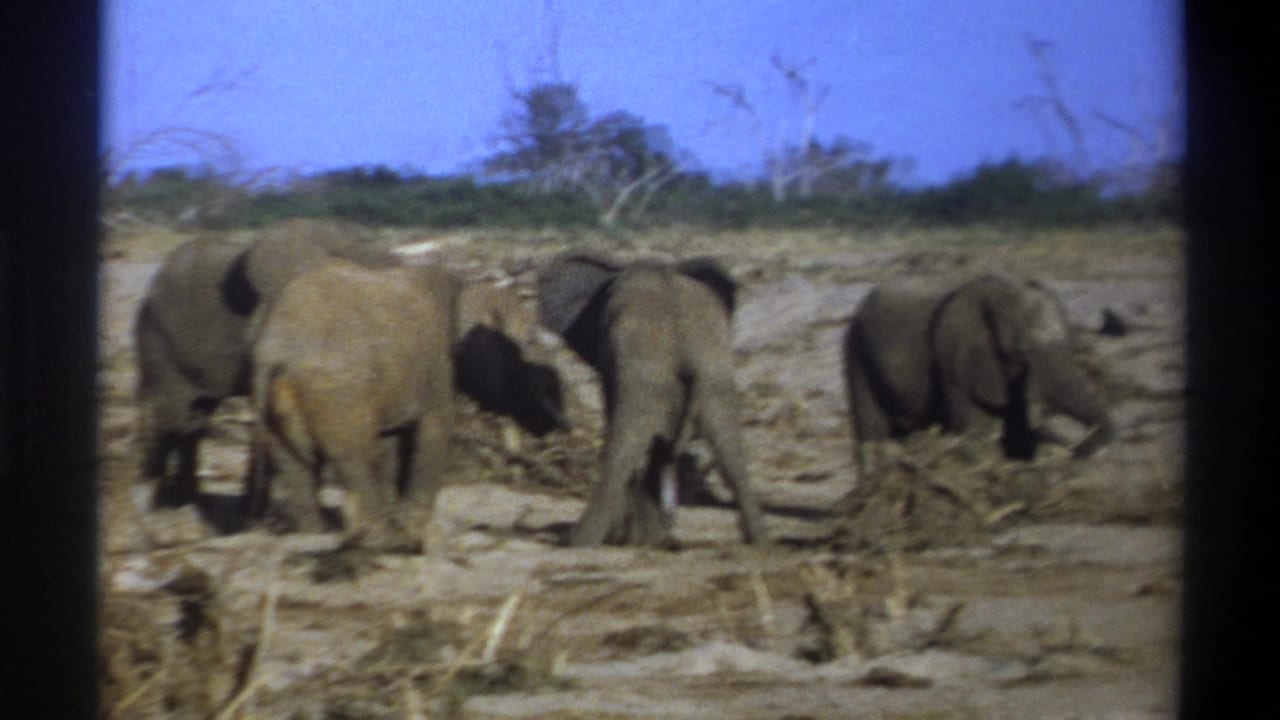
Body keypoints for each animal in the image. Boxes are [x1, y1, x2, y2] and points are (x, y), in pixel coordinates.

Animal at [250, 259, 459, 549]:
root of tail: (281, 353)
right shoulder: (432, 362)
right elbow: (434, 425)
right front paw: (412, 527)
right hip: (339, 388)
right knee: (352, 456)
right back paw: (380, 537)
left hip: (271, 394)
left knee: (292, 461)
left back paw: (315, 532)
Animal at [842, 272, 1115, 474]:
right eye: (1021, 350)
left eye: (1071, 343)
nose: (1073, 454)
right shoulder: (953, 361)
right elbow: (973, 428)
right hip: (856, 350)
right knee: (871, 426)